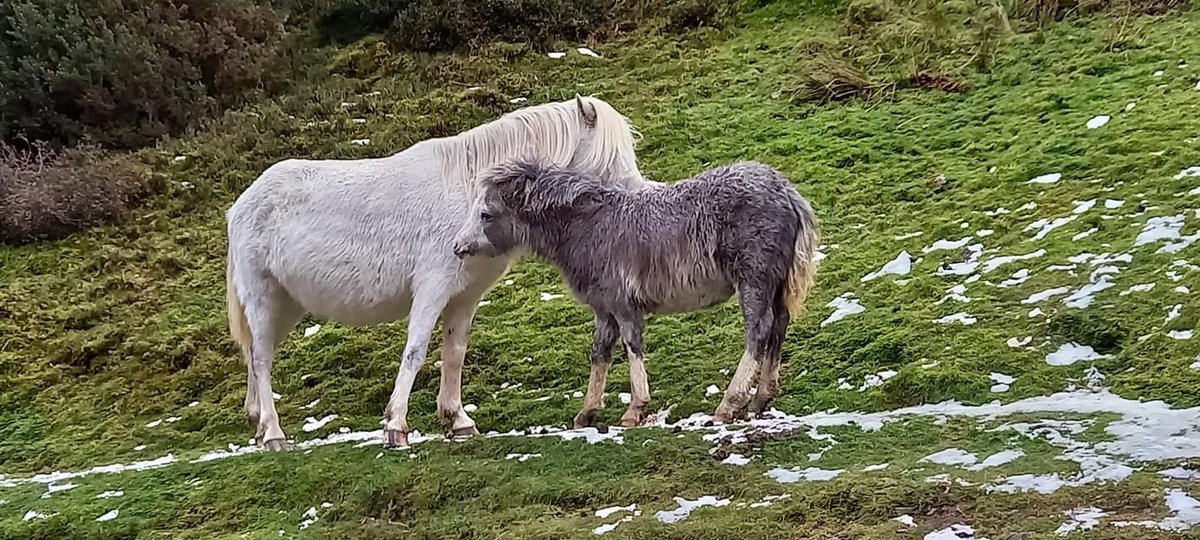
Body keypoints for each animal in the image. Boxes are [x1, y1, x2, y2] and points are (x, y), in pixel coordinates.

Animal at [225, 96, 652, 450]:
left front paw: (457, 421)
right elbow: (415, 352)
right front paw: (396, 426)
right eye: (610, 155)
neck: (470, 195)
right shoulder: (432, 290)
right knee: (261, 360)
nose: (639, 196)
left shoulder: (464, 298)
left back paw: (258, 424)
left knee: (255, 356)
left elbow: (454, 355)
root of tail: (242, 203)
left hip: (286, 305)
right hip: (262, 296)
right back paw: (274, 433)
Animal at [450, 159, 819, 427]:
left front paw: (635, 410)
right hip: (775, 284)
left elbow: (632, 346)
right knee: (778, 326)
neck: (588, 226)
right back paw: (761, 398)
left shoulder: (622, 304)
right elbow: (600, 354)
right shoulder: (604, 310)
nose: (458, 246)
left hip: (754, 280)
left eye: (486, 214)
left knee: (759, 331)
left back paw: (730, 404)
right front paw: (586, 413)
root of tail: (787, 191)